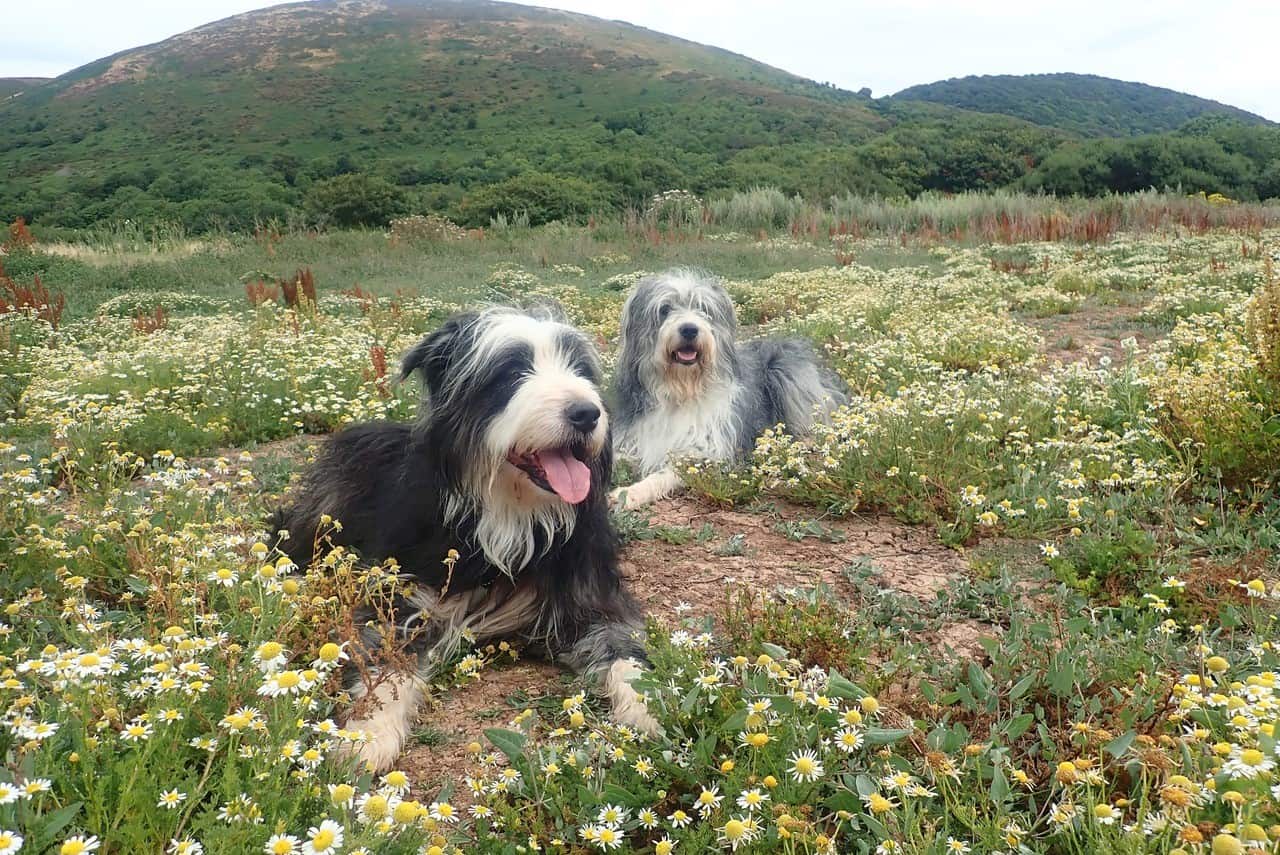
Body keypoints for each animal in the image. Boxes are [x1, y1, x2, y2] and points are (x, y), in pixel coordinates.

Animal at [266, 308, 655, 773]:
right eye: (511, 372)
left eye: (580, 370)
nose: (587, 413)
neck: (511, 515)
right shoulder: (403, 595)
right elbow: (387, 661)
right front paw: (368, 735)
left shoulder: (593, 600)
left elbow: (625, 653)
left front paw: (651, 707)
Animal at [611, 268, 849, 506]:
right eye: (665, 309)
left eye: (703, 308)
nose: (689, 329)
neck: (682, 389)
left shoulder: (708, 453)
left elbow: (665, 472)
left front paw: (631, 493)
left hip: (788, 372)